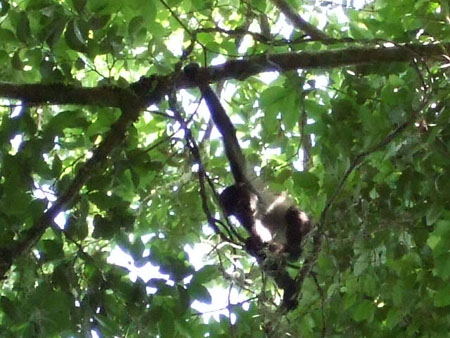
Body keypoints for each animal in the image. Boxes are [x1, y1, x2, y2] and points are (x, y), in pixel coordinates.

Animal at [183, 63, 310, 308]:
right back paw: (288, 289)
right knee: (261, 249)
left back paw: (292, 251)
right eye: (234, 212)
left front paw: (197, 76)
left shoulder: (245, 178)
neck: (255, 204)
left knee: (293, 215)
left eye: (240, 204)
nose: (244, 212)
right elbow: (257, 241)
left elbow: (228, 133)